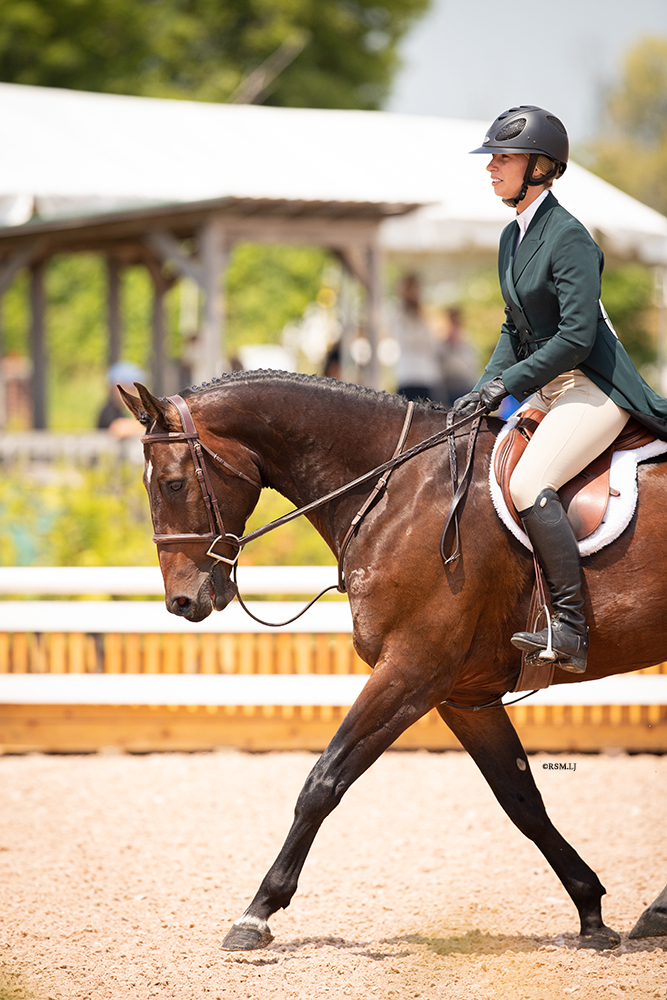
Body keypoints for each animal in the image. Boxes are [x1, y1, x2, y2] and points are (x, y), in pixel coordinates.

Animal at [120, 372, 667, 948]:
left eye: (173, 484)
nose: (180, 602)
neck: (396, 491)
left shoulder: (411, 670)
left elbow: (322, 782)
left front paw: (257, 913)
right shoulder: (464, 696)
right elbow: (522, 801)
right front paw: (591, 911)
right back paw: (656, 913)